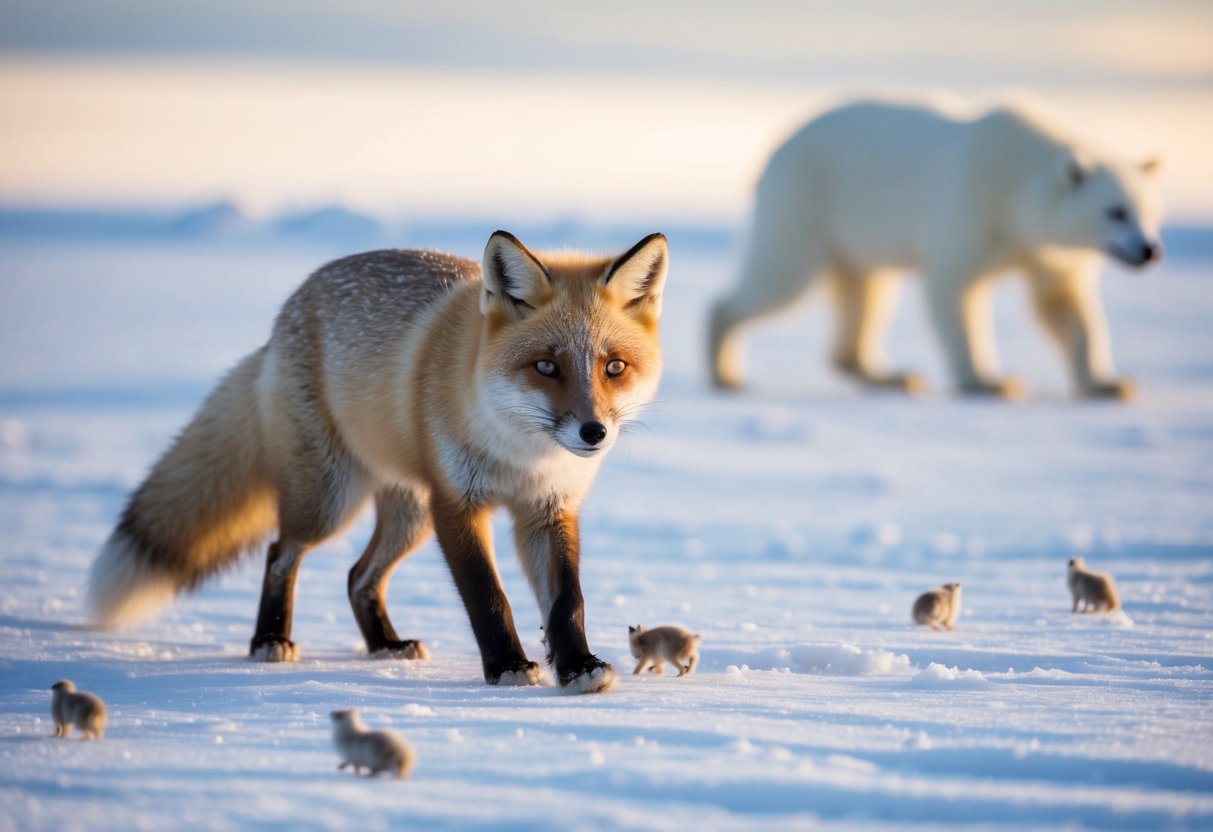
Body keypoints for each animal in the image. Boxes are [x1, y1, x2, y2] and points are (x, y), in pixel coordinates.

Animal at [87, 230, 669, 694]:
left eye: (614, 367)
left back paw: (384, 646)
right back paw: (270, 638)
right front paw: (507, 667)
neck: (521, 456)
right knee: (281, 552)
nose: (593, 432)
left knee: (356, 577)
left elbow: (567, 602)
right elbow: (488, 596)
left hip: (409, 515)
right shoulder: (456, 505)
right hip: (331, 501)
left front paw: (577, 668)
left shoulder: (549, 510)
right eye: (546, 366)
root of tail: (288, 310)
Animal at [709, 99, 1163, 399]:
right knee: (780, 278)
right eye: (1115, 211)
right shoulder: (971, 208)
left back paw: (893, 376)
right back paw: (725, 371)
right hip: (805, 203)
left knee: (866, 293)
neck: (1014, 181)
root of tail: (776, 149)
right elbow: (955, 290)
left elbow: (1064, 307)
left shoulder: (1048, 253)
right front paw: (989, 381)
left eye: (1150, 210)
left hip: (855, 238)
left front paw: (1108, 383)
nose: (1149, 251)